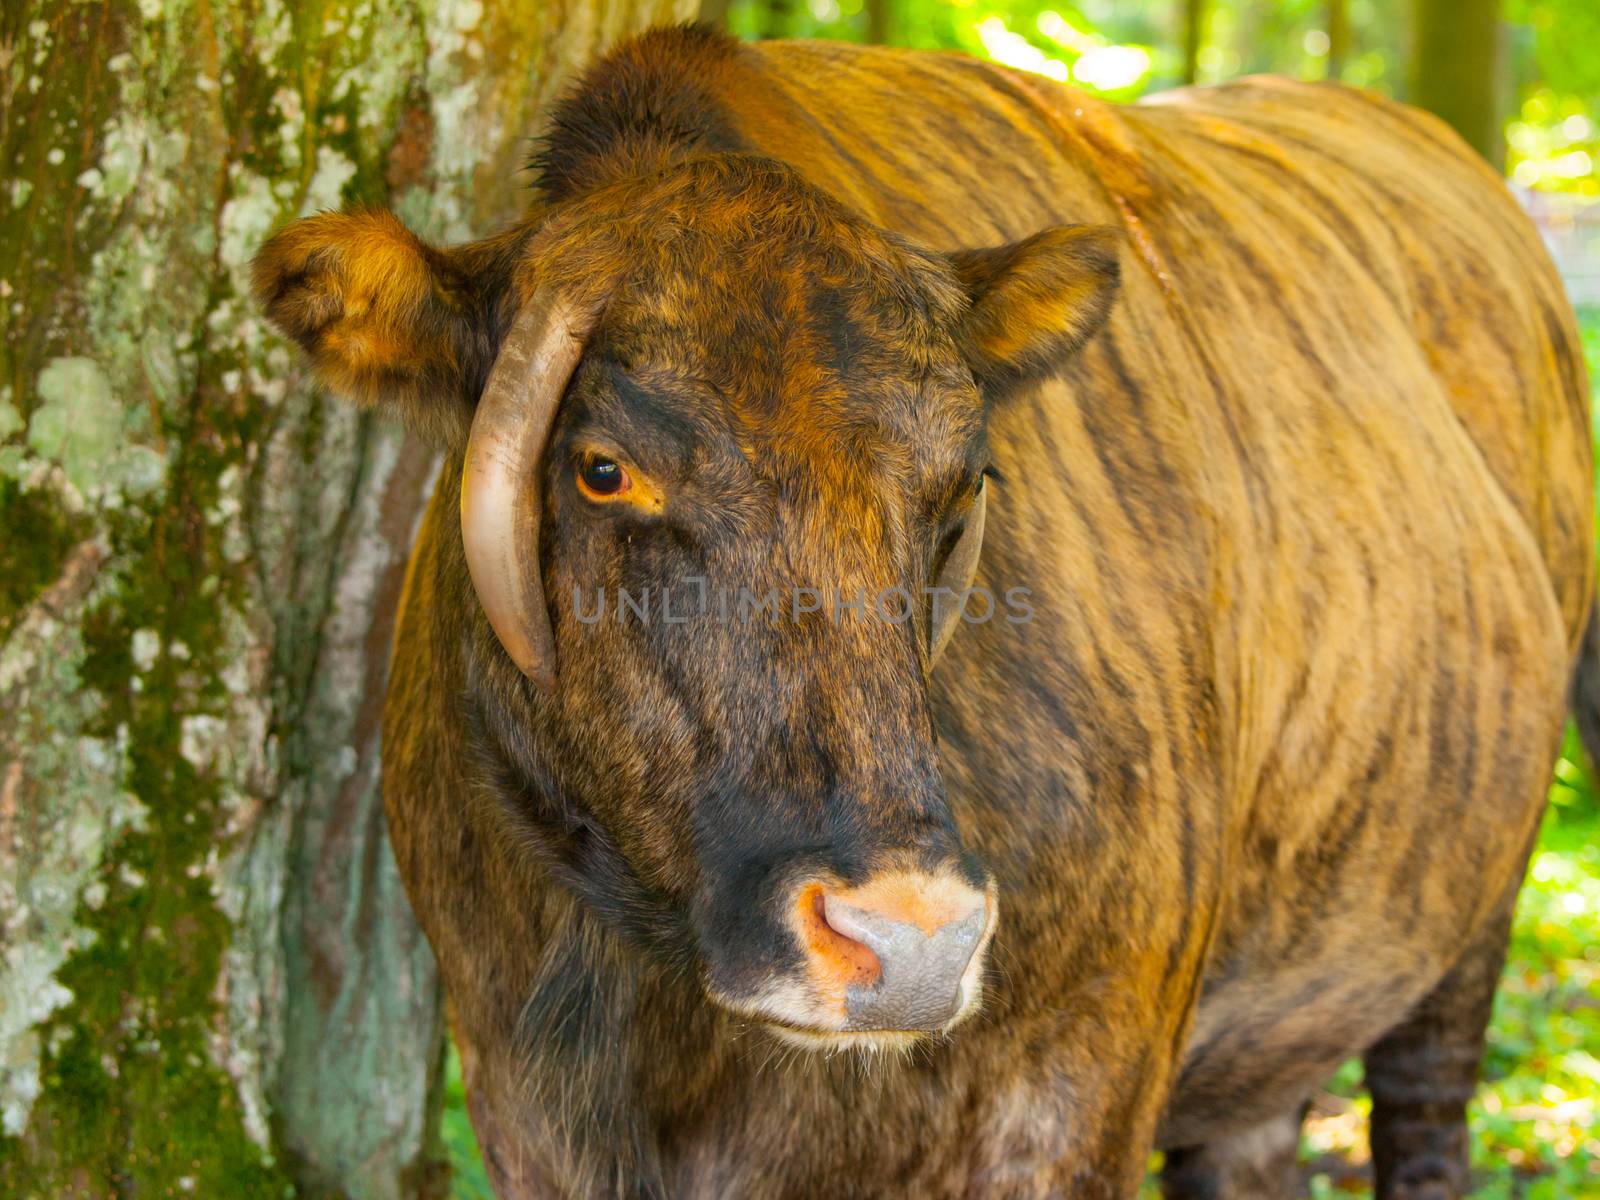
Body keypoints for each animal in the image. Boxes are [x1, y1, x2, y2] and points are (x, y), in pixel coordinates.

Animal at [249, 25, 1587, 1200]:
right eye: (602, 466)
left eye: (964, 479)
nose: (908, 940)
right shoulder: (522, 1101)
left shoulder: (1074, 1094)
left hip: (1467, 928)